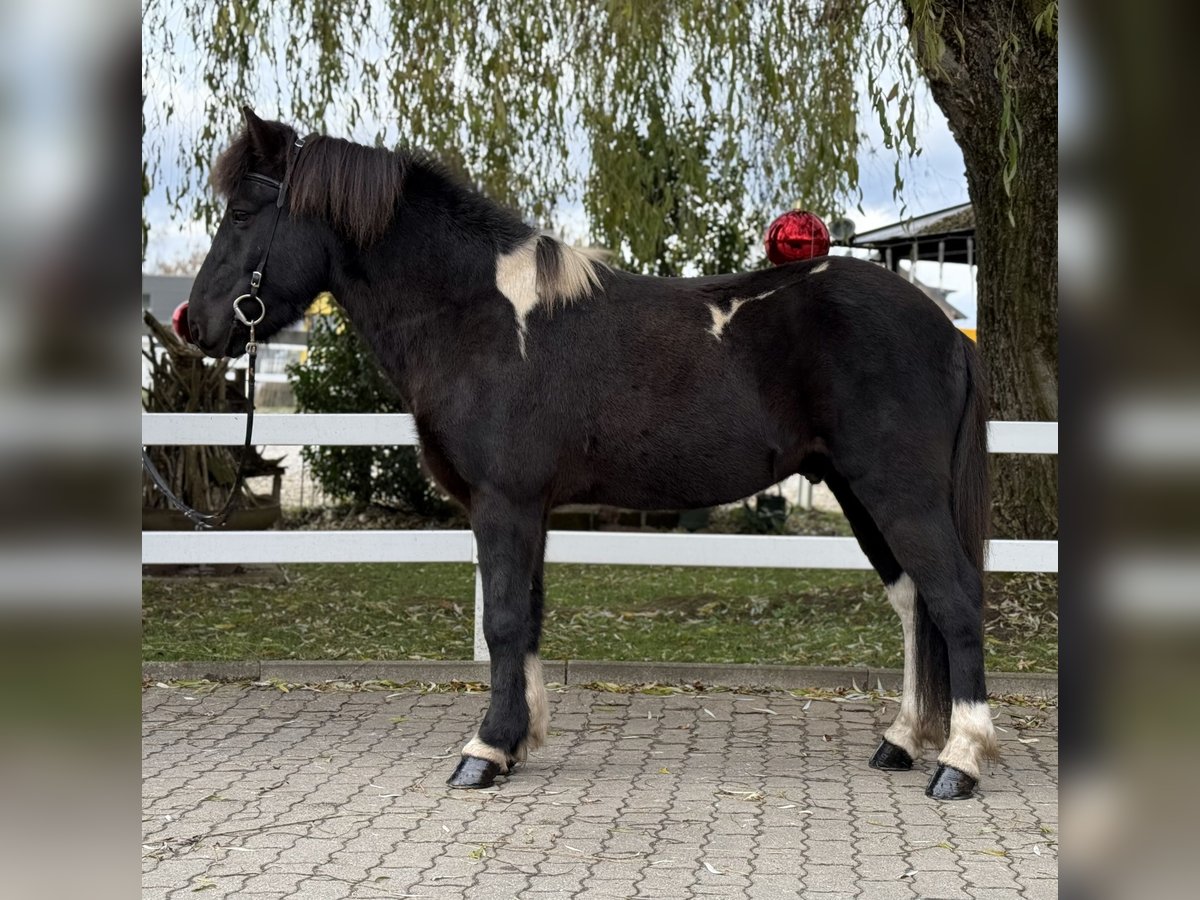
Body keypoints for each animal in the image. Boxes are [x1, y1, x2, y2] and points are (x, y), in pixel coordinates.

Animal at [182, 111, 998, 801]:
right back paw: (902, 740)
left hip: (898, 491)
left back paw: (958, 762)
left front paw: (485, 752)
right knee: (914, 600)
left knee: (955, 596)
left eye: (243, 213)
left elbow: (504, 620)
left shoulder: (503, 502)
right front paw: (519, 740)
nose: (197, 324)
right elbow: (529, 617)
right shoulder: (530, 508)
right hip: (861, 494)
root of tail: (945, 329)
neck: (478, 315)